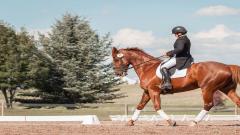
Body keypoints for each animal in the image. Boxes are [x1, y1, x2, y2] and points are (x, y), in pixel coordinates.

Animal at [112, 47, 240, 126]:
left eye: (116, 58)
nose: (117, 73)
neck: (147, 67)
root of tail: (227, 66)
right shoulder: (147, 92)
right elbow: (140, 106)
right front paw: (130, 122)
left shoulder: (154, 91)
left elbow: (157, 107)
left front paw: (171, 122)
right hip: (227, 89)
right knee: (238, 102)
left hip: (207, 88)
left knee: (208, 104)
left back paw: (193, 122)